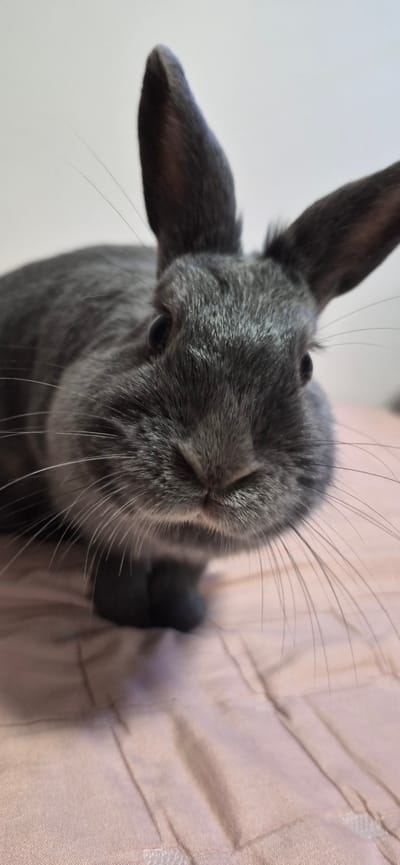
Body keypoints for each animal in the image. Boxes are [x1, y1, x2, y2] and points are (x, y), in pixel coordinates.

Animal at [0, 45, 398, 632]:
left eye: (305, 366)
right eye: (159, 328)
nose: (218, 465)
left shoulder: (190, 557)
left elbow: (183, 579)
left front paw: (184, 619)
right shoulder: (105, 529)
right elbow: (119, 573)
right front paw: (126, 618)